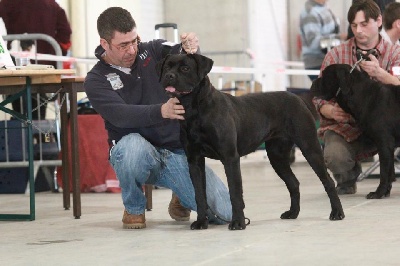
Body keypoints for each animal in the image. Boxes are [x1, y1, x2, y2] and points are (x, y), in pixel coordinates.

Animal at [156, 53, 344, 230]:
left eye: (185, 68)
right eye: (167, 67)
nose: (169, 76)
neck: (194, 108)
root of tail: (298, 98)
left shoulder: (230, 158)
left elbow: (235, 192)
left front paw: (238, 222)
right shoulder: (195, 161)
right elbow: (199, 195)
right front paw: (202, 222)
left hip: (309, 146)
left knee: (327, 180)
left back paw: (337, 213)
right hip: (276, 156)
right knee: (293, 183)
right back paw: (293, 213)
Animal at [312, 63, 400, 198]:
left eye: (325, 75)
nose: (313, 82)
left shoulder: (384, 143)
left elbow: (384, 172)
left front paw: (378, 193)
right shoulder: (388, 147)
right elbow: (390, 172)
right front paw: (385, 192)